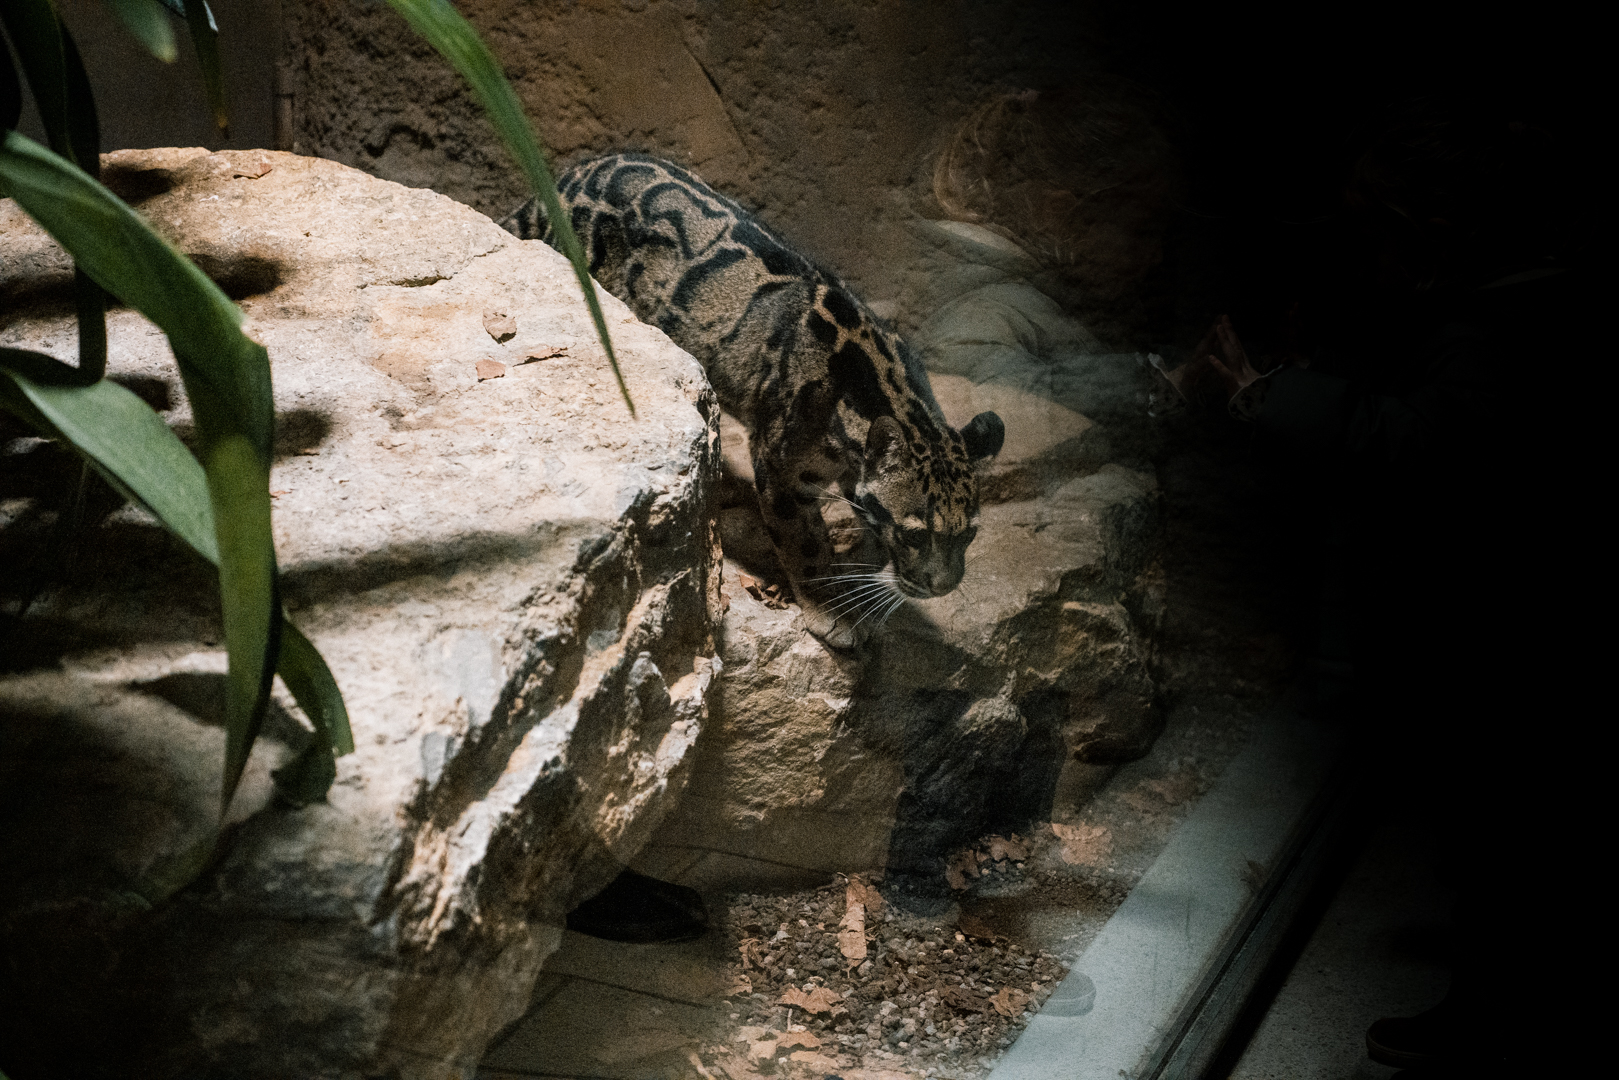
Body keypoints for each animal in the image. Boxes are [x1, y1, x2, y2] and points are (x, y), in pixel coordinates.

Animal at [501, 154, 1004, 648]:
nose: (944, 586)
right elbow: (805, 544)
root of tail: (564, 179)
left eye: (970, 534)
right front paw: (832, 610)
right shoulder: (780, 465)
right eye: (915, 534)